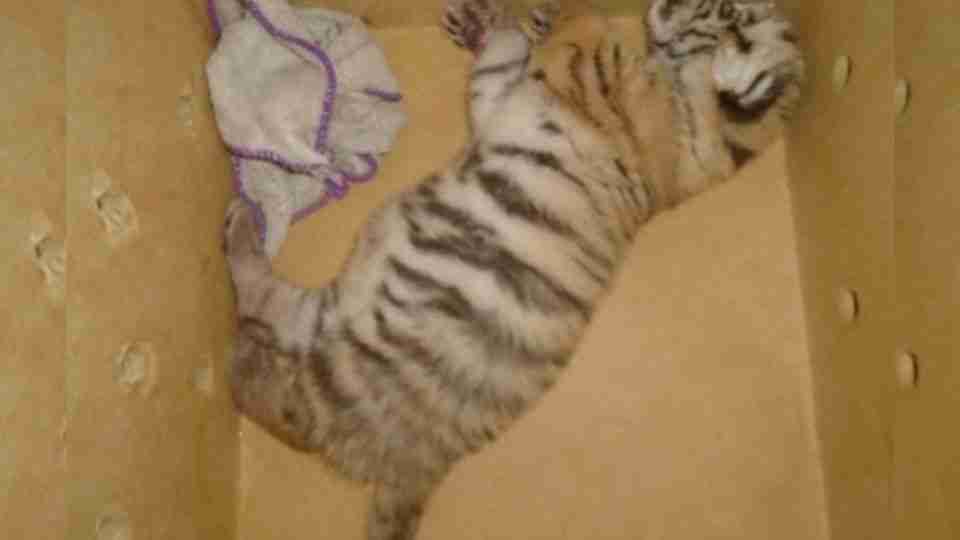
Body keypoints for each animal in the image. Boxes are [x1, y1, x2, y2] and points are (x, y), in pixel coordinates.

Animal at [222, 1, 804, 538]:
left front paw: (541, 16)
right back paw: (241, 237)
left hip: (360, 364)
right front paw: (492, 21)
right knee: (270, 306)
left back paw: (239, 340)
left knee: (290, 408)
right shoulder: (506, 96)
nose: (661, 8)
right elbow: (503, 60)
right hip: (340, 310)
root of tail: (423, 467)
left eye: (720, 8)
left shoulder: (595, 77)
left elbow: (584, 27)